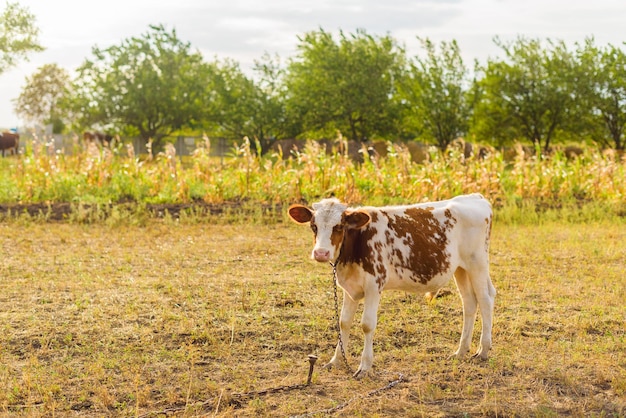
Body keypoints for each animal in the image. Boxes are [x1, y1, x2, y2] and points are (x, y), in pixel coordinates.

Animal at [288, 194, 498, 378]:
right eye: (313, 226)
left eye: (339, 226)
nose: (320, 253)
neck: (357, 241)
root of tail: (475, 197)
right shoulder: (350, 287)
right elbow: (343, 322)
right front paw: (336, 361)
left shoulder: (374, 285)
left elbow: (367, 325)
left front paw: (364, 367)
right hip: (461, 268)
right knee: (469, 303)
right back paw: (461, 351)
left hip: (477, 263)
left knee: (485, 300)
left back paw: (483, 350)